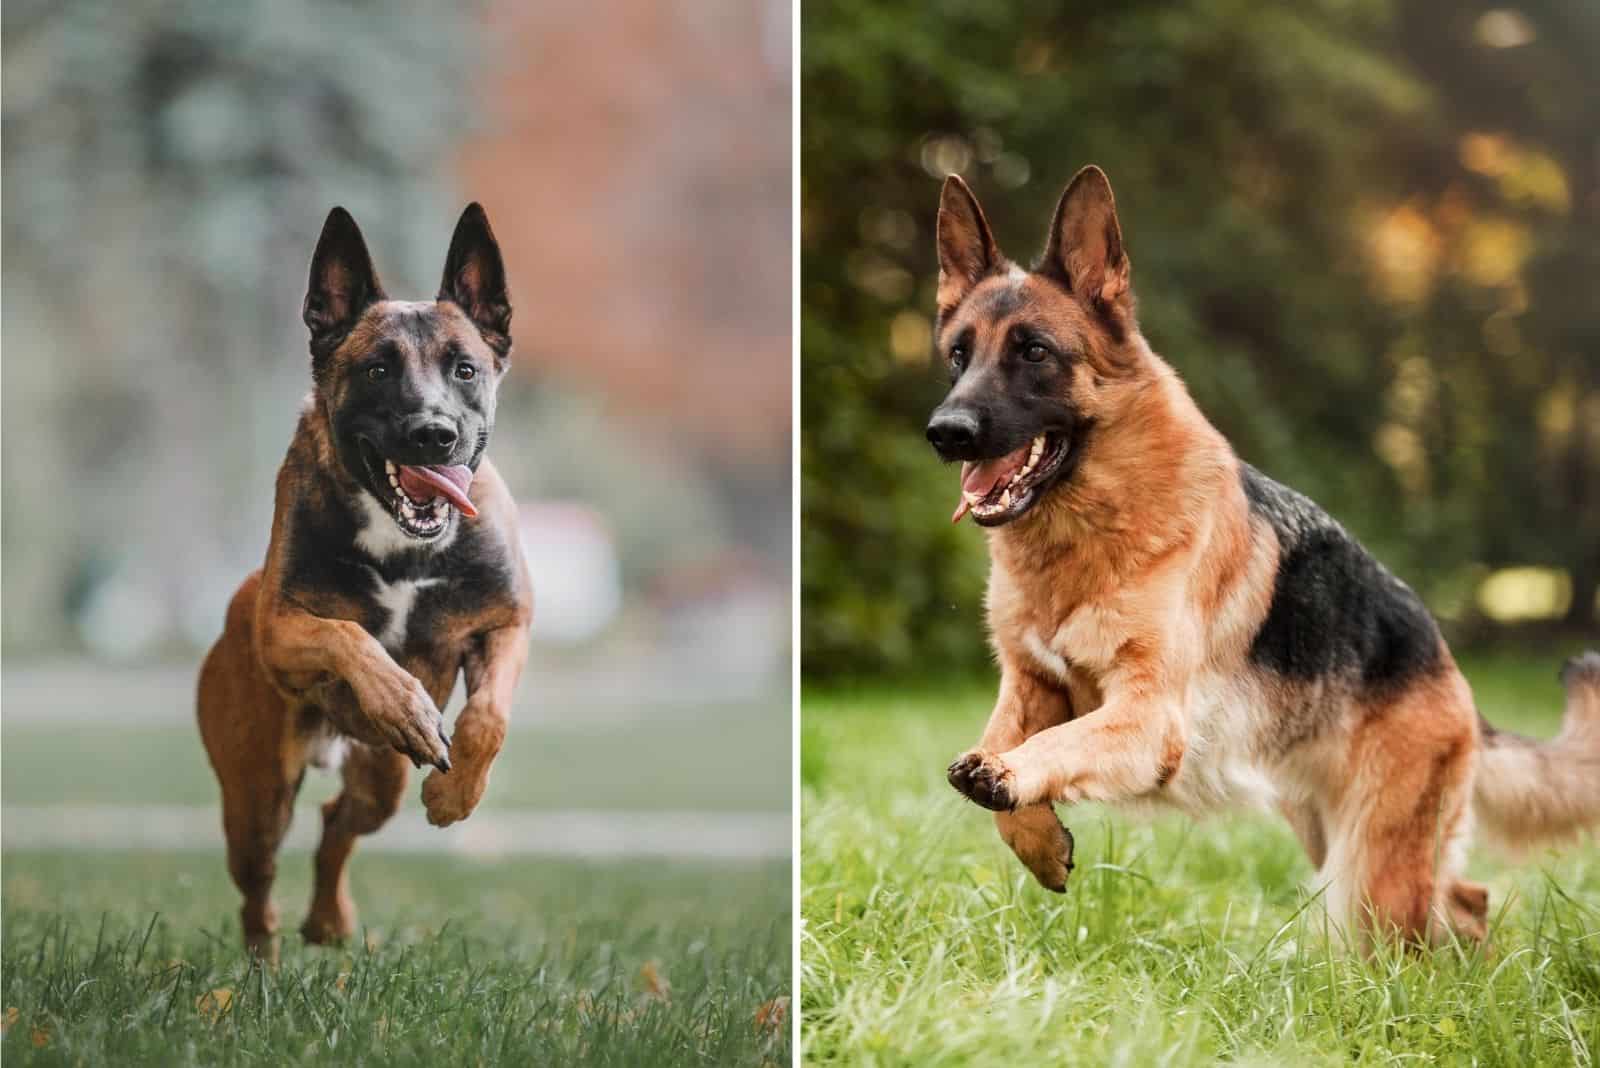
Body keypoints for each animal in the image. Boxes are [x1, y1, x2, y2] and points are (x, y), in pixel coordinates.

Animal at [198, 204, 531, 952]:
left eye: (465, 369)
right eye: (378, 369)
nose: (434, 434)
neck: (404, 542)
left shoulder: (506, 622)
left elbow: (488, 718)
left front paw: (456, 795)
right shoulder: (281, 631)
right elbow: (349, 637)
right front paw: (402, 701)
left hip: (381, 780)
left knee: (336, 827)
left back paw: (328, 921)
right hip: (256, 795)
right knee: (258, 890)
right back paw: (262, 966)